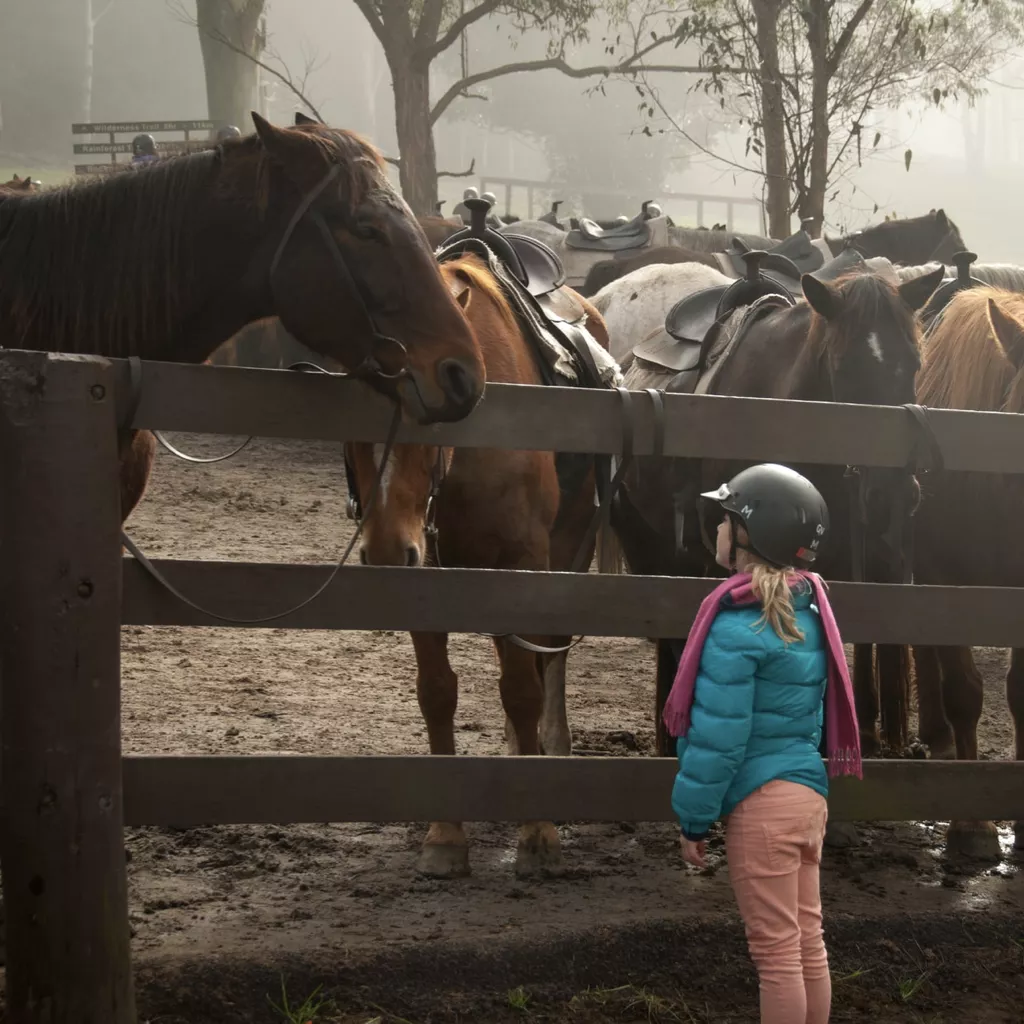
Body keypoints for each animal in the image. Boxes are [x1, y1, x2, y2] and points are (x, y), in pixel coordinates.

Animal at [348, 249, 610, 880]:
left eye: (433, 411)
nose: (386, 553)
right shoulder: (429, 575)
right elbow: (437, 692)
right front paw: (445, 834)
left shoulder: (523, 564)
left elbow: (523, 690)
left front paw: (538, 831)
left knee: (549, 658)